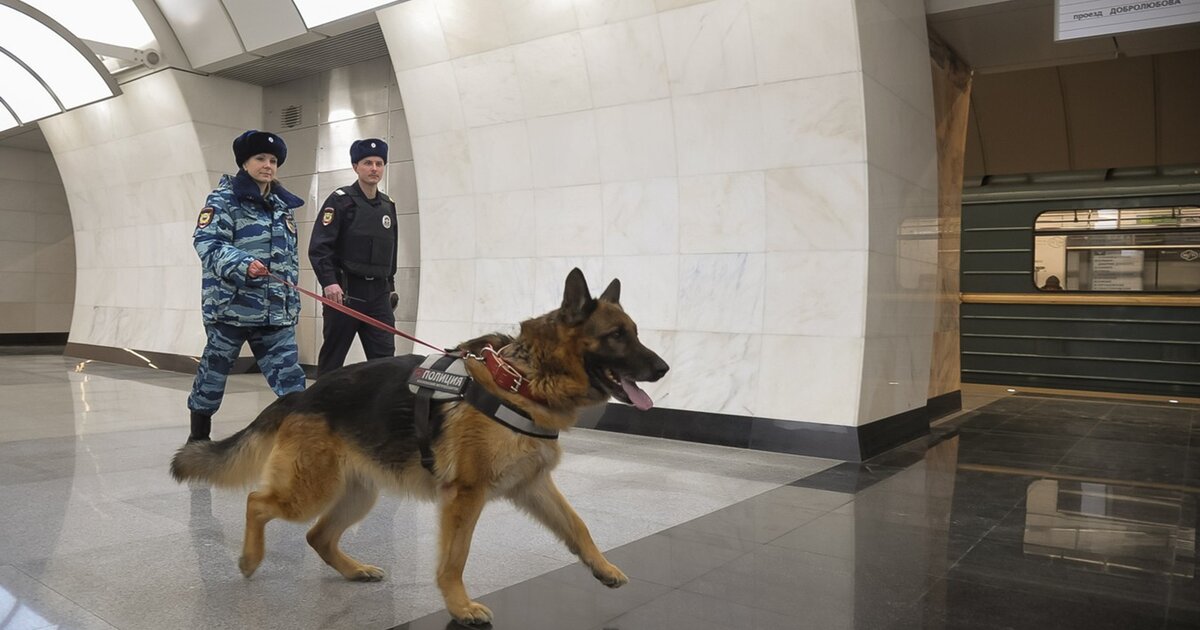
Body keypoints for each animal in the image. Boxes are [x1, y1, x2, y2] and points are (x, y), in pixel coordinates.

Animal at [171, 267, 667, 619]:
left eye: (635, 332)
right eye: (616, 336)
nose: (663, 369)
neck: (524, 379)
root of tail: (303, 393)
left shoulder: (534, 485)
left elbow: (578, 525)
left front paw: (602, 567)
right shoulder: (465, 496)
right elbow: (455, 558)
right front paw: (459, 606)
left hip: (359, 495)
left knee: (317, 535)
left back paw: (355, 569)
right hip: (310, 491)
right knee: (257, 502)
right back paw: (250, 559)